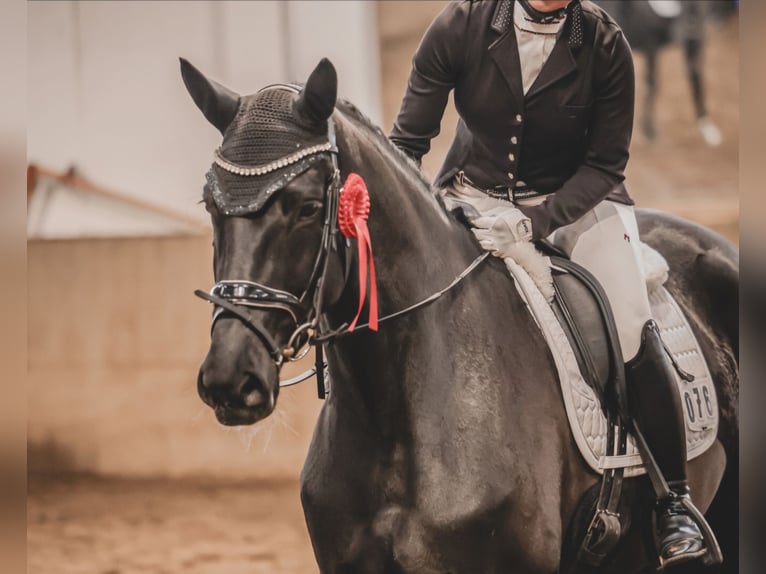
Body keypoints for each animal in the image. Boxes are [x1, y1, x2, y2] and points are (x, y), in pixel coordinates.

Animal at [600, 0, 736, 146]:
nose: (692, 26)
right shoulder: (650, 44)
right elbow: (652, 85)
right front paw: (648, 129)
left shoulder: (695, 44)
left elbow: (697, 82)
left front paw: (706, 126)